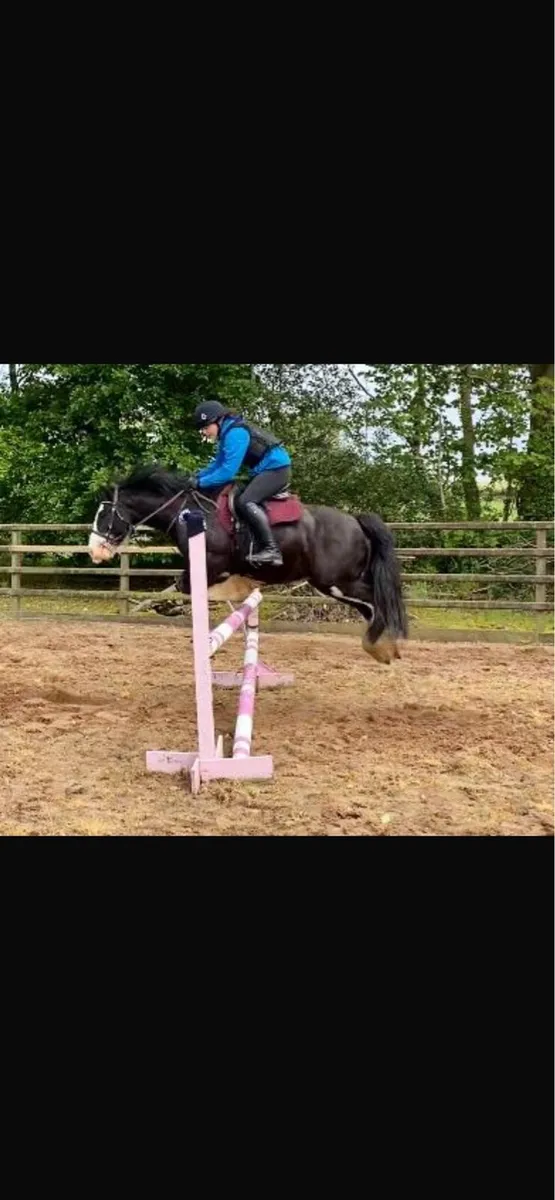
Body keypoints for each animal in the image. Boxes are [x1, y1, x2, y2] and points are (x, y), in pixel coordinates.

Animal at [88, 465, 408, 663]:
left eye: (104, 516)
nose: (94, 550)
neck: (188, 512)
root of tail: (355, 520)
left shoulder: (209, 564)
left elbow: (191, 588)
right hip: (336, 584)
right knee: (370, 605)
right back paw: (386, 646)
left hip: (336, 581)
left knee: (376, 599)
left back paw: (378, 645)